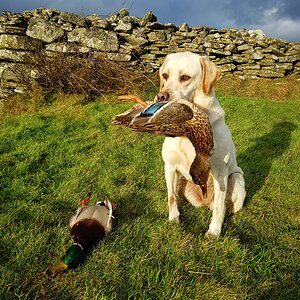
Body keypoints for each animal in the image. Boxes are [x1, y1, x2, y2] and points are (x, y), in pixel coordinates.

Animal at [157, 52, 246, 239]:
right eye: (165, 76)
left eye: (185, 77)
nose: (161, 97)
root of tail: (204, 202)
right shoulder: (169, 166)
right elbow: (171, 197)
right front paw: (173, 219)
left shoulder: (220, 172)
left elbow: (219, 208)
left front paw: (214, 232)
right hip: (181, 179)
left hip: (236, 178)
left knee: (224, 207)